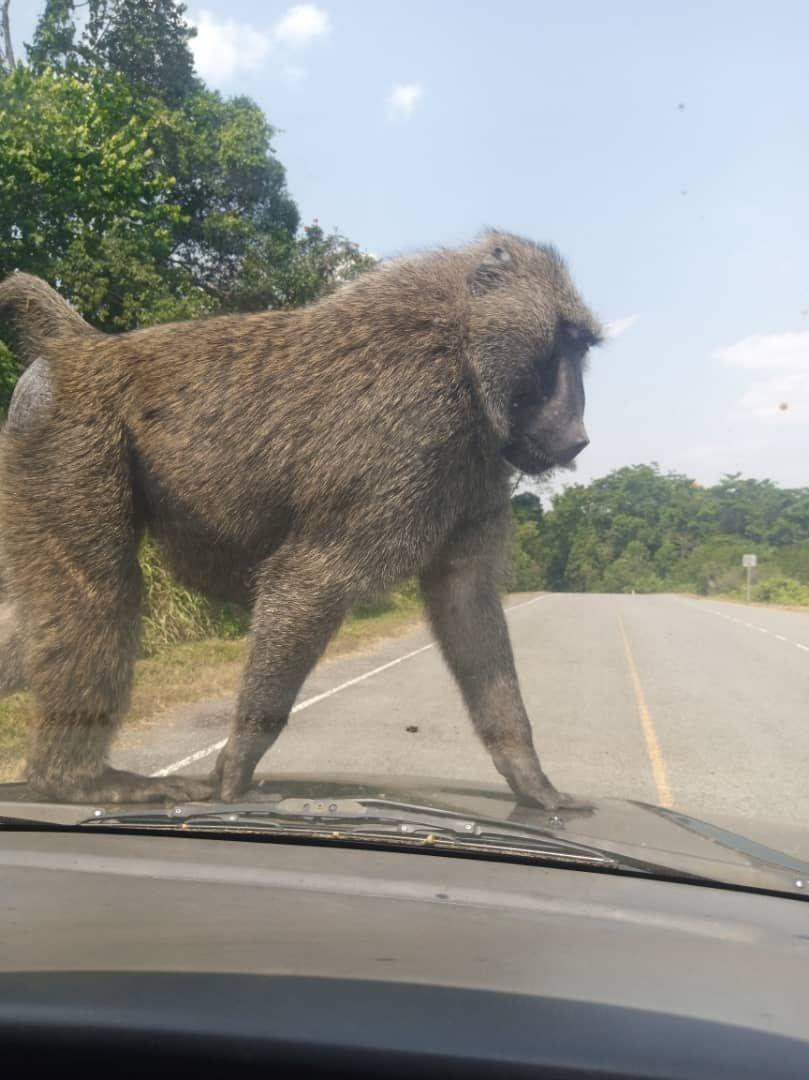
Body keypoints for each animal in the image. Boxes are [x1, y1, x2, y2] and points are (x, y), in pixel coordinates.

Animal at [0, 232, 603, 806]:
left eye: (582, 347)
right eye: (566, 342)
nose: (578, 437)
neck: (460, 345)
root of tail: (81, 346)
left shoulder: (478, 466)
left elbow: (465, 596)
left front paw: (531, 779)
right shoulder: (413, 426)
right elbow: (314, 579)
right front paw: (237, 765)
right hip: (67, 436)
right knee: (100, 592)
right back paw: (77, 782)